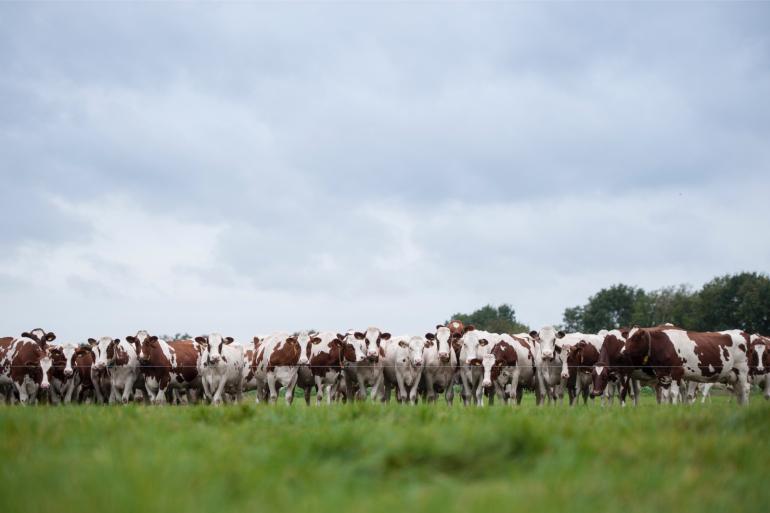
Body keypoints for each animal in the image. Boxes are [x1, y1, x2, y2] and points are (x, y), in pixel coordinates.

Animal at [620, 324, 748, 404]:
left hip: (742, 372)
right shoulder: (663, 375)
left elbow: (674, 394)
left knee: (745, 390)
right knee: (739, 392)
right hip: (734, 377)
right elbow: (666, 395)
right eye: (627, 337)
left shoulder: (677, 373)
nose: (622, 352)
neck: (665, 345)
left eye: (636, 337)